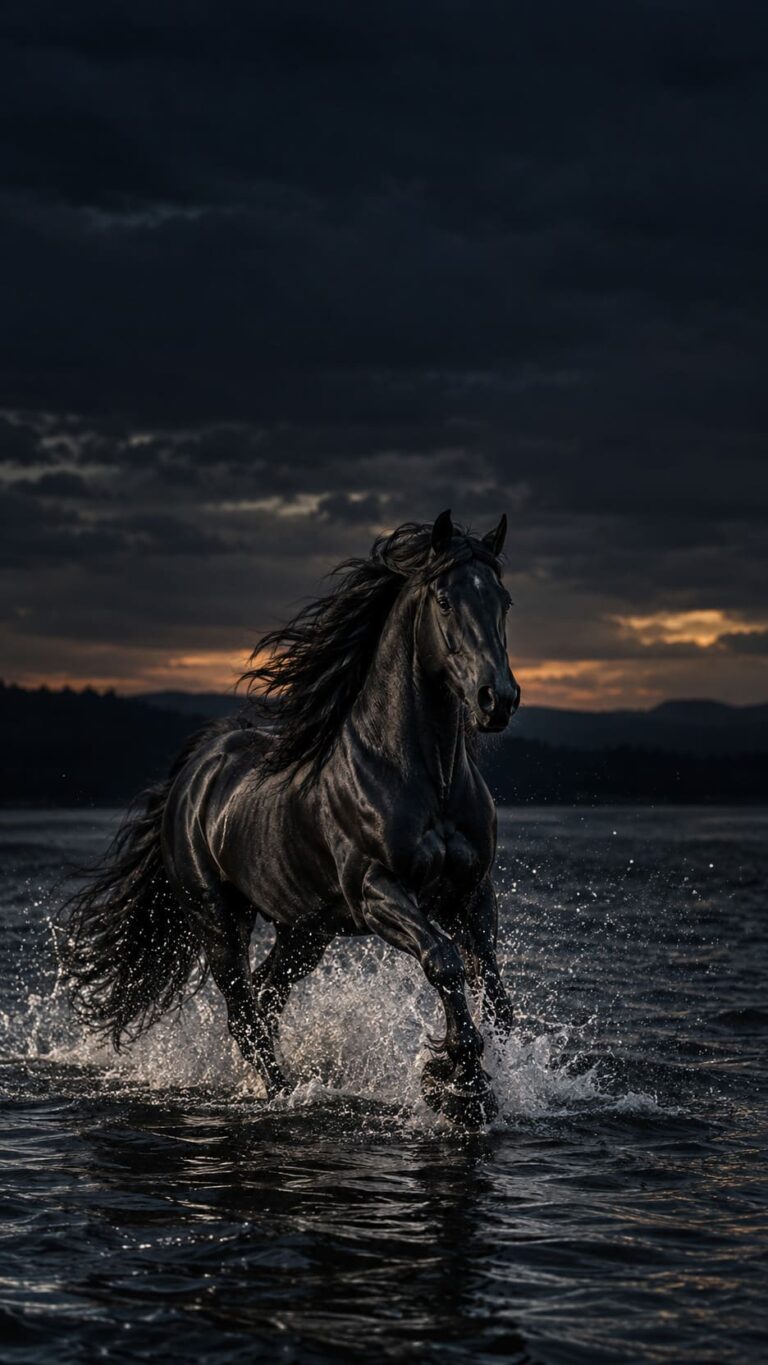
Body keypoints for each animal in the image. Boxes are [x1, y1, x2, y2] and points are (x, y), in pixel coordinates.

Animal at [62, 510, 521, 1126]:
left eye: (504, 600)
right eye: (445, 600)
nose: (498, 699)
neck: (427, 778)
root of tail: (195, 771)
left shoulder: (471, 891)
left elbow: (491, 989)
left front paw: (479, 1082)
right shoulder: (378, 892)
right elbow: (444, 962)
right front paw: (458, 1084)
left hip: (305, 932)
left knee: (266, 997)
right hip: (218, 920)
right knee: (243, 1012)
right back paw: (283, 1092)